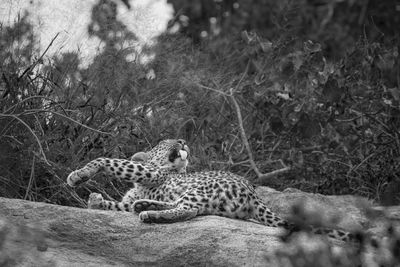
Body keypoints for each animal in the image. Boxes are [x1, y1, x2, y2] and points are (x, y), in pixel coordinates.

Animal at [68, 139, 356, 242]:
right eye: (168, 141)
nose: (183, 141)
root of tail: (254, 195)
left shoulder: (148, 173)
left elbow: (108, 160)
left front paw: (79, 176)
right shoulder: (133, 192)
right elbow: (119, 204)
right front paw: (96, 200)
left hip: (202, 189)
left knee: (188, 210)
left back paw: (151, 214)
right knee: (186, 208)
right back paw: (146, 206)